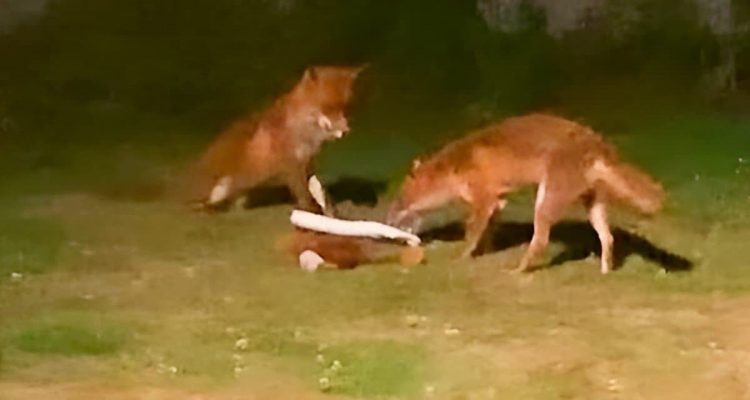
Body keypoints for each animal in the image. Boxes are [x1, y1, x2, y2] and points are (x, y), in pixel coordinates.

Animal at [187, 65, 366, 212]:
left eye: (347, 108)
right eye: (328, 107)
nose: (346, 131)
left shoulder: (308, 162)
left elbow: (319, 191)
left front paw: (329, 210)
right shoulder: (291, 165)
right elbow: (304, 194)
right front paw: (311, 212)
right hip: (217, 189)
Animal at [390, 113, 668, 276]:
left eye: (400, 199)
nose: (390, 217)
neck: (455, 167)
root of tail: (597, 143)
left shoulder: (483, 200)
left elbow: (471, 234)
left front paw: (460, 258)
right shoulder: (497, 202)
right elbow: (488, 233)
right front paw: (486, 252)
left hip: (545, 202)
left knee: (541, 241)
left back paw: (519, 270)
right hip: (592, 204)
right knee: (608, 238)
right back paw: (605, 271)